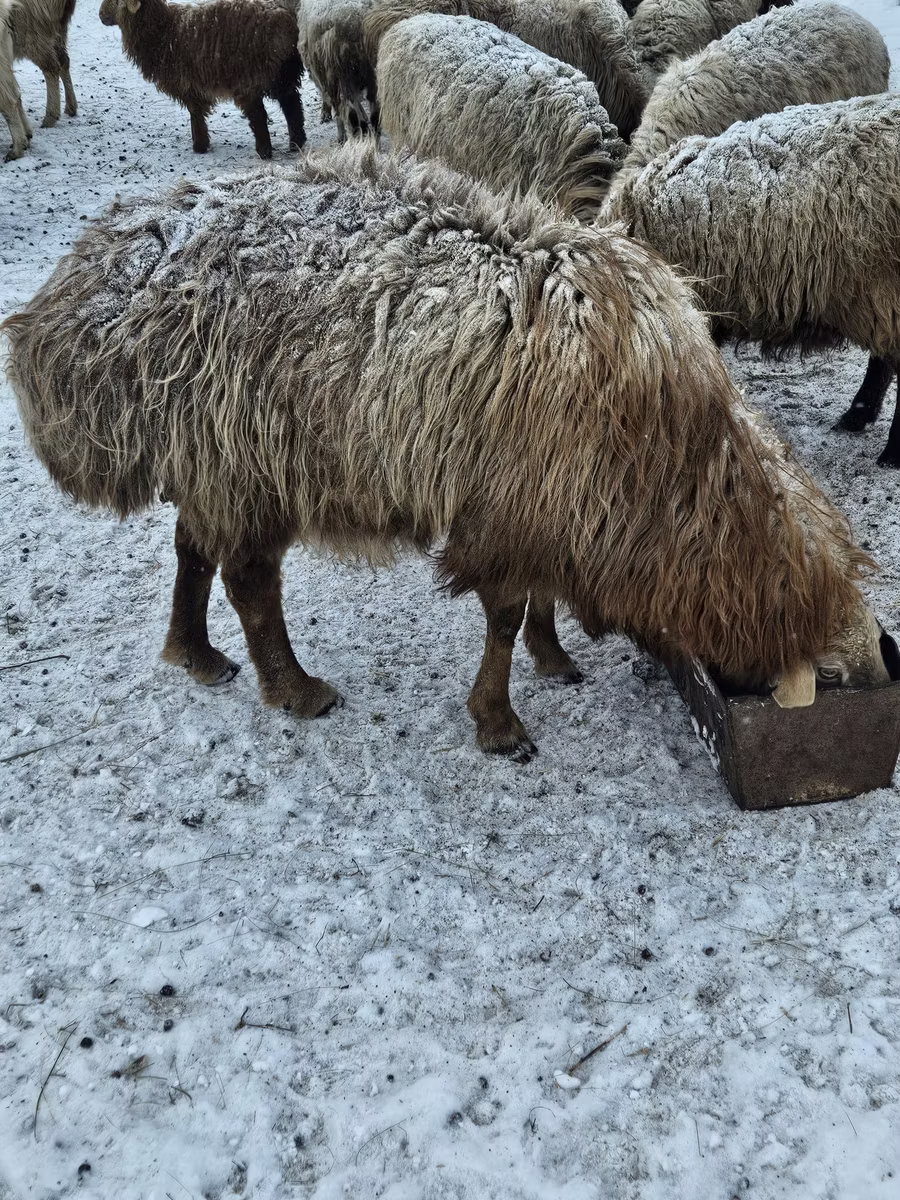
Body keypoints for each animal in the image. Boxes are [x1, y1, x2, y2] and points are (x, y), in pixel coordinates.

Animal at [3, 146, 889, 757]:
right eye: (833, 665)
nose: (882, 681)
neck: (683, 472)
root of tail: (83, 291)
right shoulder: (514, 505)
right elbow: (503, 613)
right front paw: (499, 722)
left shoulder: (554, 505)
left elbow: (538, 599)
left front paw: (552, 657)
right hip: (247, 457)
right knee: (249, 581)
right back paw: (294, 687)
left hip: (207, 455)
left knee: (192, 550)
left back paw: (195, 654)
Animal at [98, 0, 305, 157]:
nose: (100, 15)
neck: (163, 31)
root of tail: (286, 21)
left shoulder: (188, 84)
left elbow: (195, 113)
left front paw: (199, 146)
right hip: (283, 74)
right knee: (292, 104)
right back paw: (296, 144)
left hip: (251, 77)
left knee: (259, 115)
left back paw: (264, 151)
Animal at [298, 0, 378, 141]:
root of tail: (353, 22)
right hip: (368, 70)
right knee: (373, 112)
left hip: (337, 73)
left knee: (347, 111)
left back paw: (346, 135)